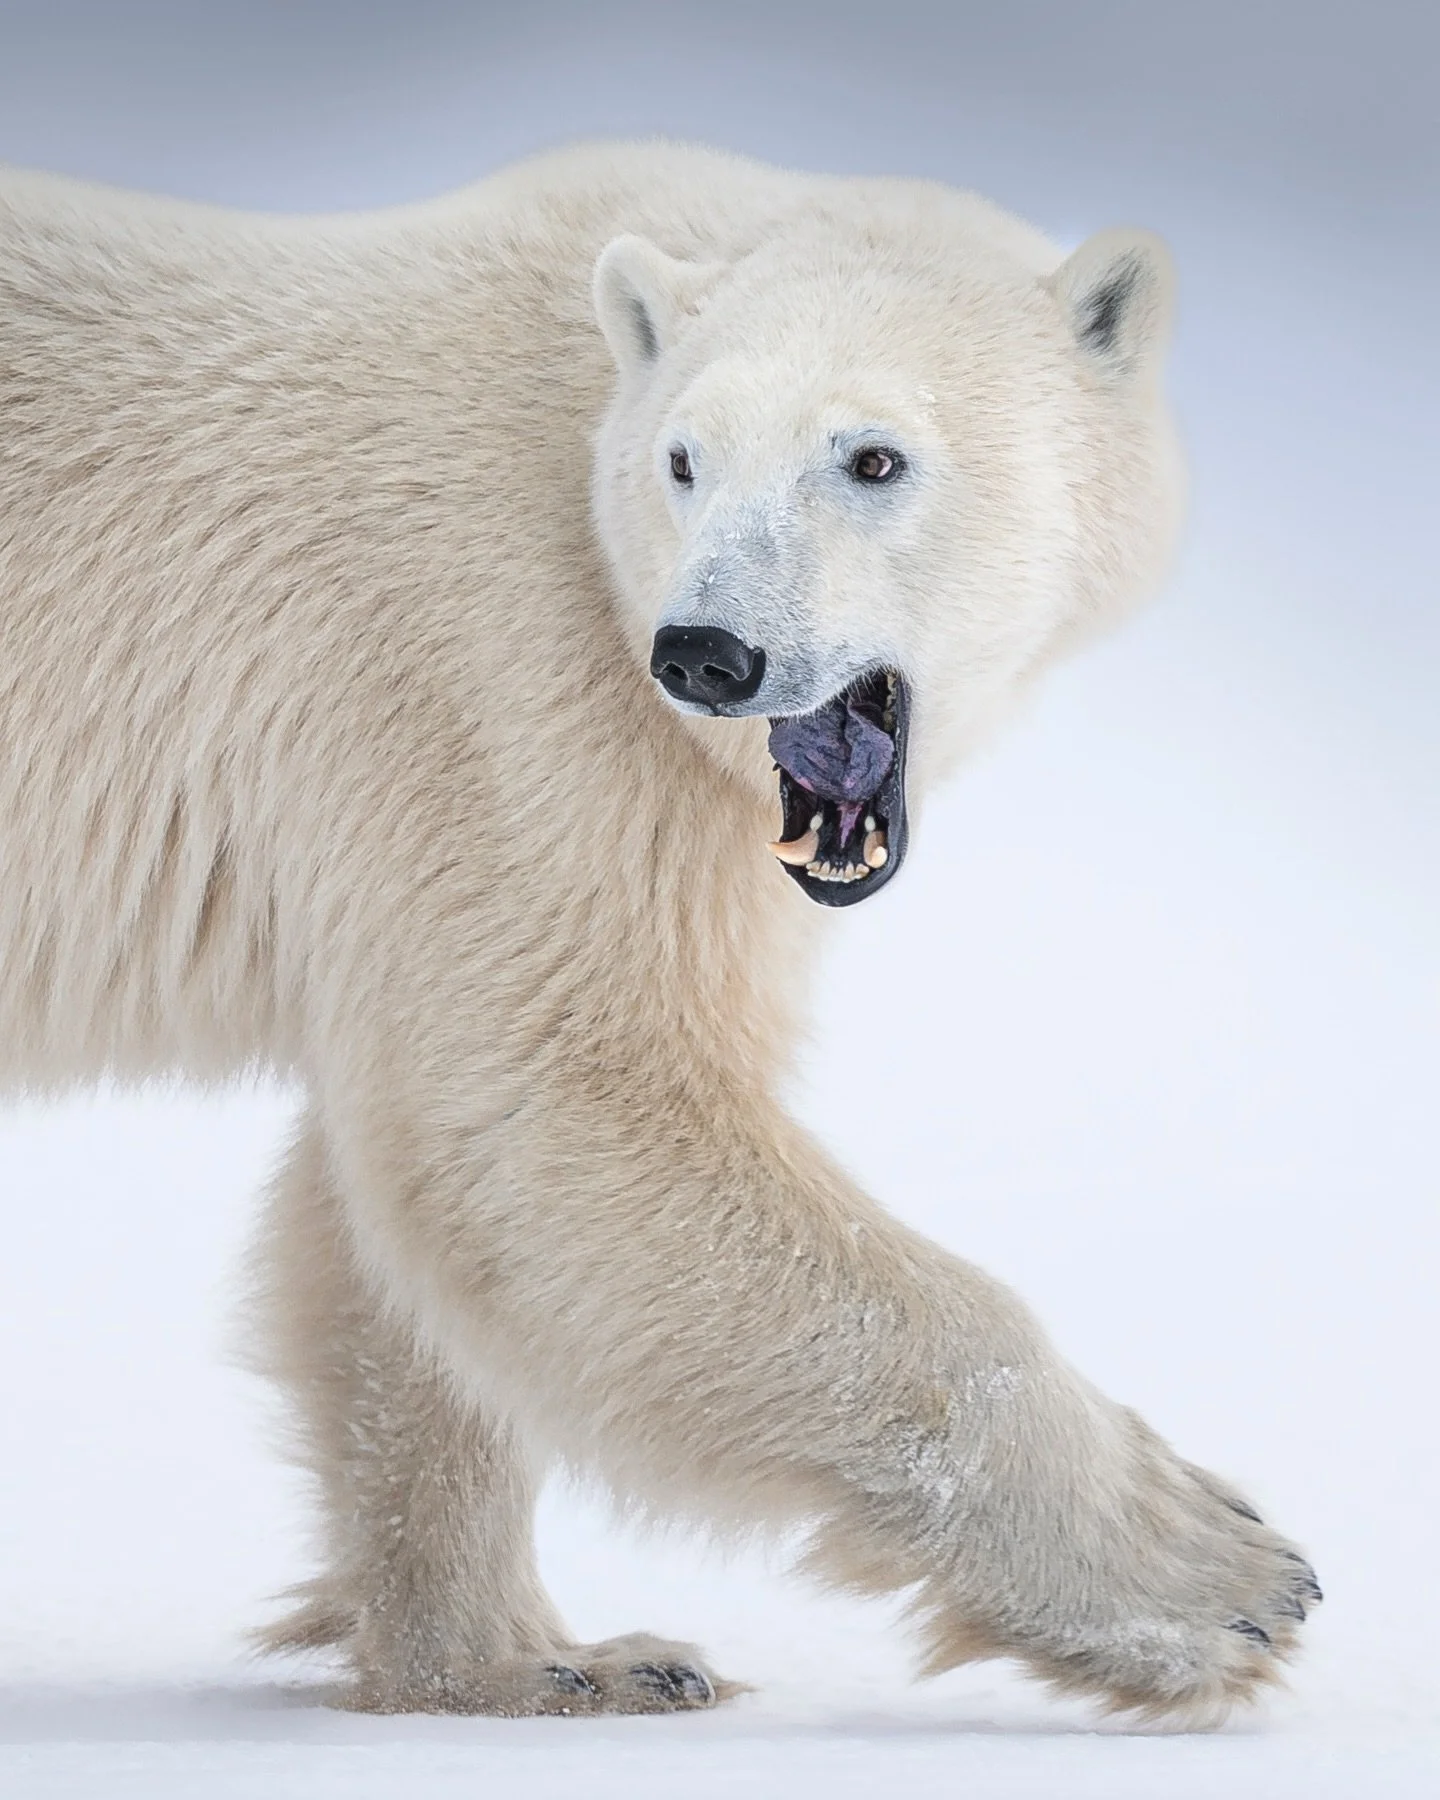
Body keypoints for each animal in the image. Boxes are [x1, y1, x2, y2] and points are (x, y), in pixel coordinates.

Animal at [0, 139, 1318, 1720]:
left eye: (872, 457)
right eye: (685, 461)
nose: (707, 654)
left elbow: (416, 1239)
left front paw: (543, 1662)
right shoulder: (505, 675)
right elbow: (558, 1105)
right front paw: (1220, 1572)